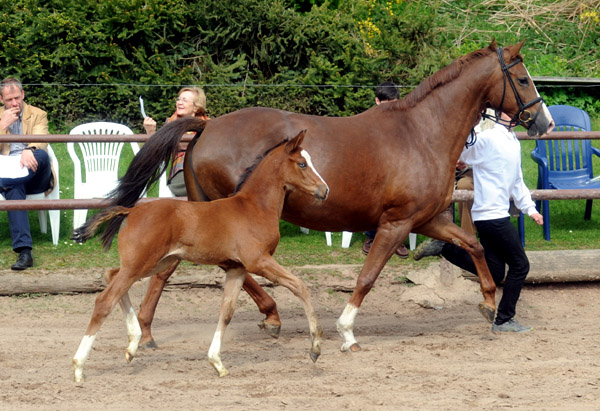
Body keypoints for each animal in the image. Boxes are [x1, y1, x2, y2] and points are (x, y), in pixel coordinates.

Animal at [72, 131, 330, 384]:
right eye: (302, 163)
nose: (324, 190)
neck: (254, 207)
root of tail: (131, 211)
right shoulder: (259, 261)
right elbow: (300, 286)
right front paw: (315, 348)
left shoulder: (237, 269)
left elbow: (226, 312)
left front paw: (217, 363)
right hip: (140, 264)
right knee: (104, 301)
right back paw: (79, 367)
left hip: (152, 263)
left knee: (110, 275)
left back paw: (132, 345)